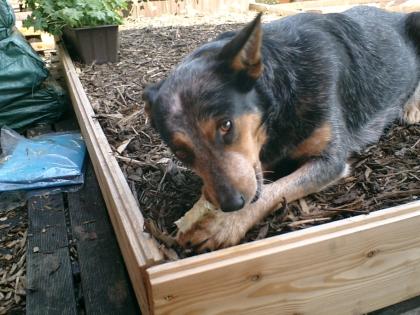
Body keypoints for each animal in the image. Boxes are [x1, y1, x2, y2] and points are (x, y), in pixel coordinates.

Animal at [144, 6, 420, 254]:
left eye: (226, 126)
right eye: (180, 153)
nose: (232, 205)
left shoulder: (330, 161)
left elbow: (273, 190)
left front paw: (223, 224)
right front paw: (197, 212)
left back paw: (412, 106)